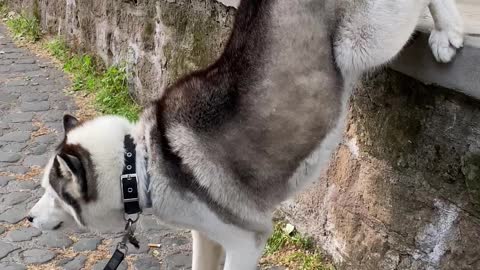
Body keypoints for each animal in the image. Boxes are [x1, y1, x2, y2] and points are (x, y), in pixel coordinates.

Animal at [28, 0, 464, 268]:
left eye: (53, 193)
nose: (28, 217)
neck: (141, 167)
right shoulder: (206, 236)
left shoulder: (244, 241)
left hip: (365, 41)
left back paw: (448, 32)